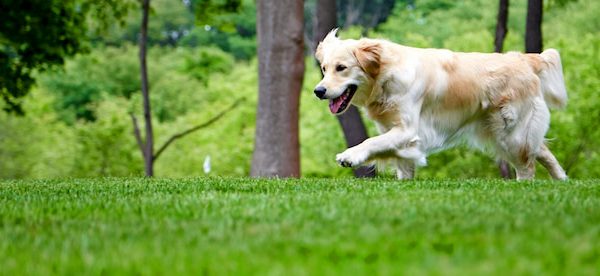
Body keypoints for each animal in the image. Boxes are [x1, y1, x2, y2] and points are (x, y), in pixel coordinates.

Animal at [314, 29, 568, 180]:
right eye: (324, 69)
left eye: (341, 68)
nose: (318, 91)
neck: (387, 74)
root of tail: (523, 58)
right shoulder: (397, 133)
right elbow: (402, 165)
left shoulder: (407, 130)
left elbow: (371, 141)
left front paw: (350, 155)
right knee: (542, 151)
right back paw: (561, 180)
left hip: (510, 133)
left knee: (527, 166)